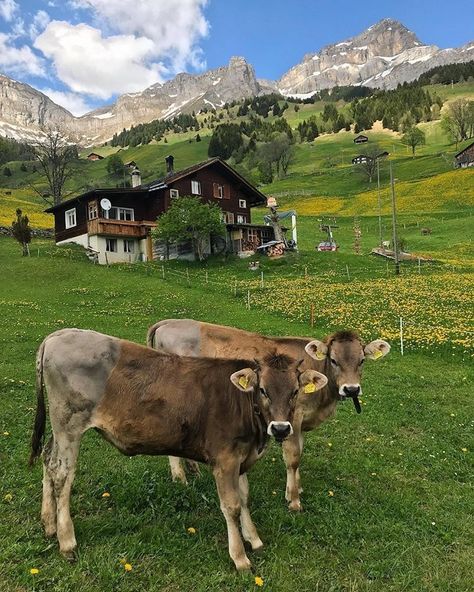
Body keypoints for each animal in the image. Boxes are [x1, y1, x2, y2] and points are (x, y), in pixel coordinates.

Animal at [29, 328, 326, 568]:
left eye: (296, 391)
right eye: (262, 390)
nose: (281, 429)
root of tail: (58, 335)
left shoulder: (242, 459)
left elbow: (244, 499)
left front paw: (253, 538)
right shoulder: (225, 460)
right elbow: (231, 506)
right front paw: (240, 557)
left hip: (59, 429)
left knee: (48, 460)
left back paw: (48, 524)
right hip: (69, 426)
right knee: (62, 474)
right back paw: (67, 541)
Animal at [147, 322, 388, 512]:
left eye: (362, 361)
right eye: (334, 360)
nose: (351, 389)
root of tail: (168, 322)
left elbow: (299, 452)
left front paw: (295, 487)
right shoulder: (293, 417)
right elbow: (293, 457)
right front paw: (294, 500)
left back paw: (193, 471)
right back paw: (180, 479)